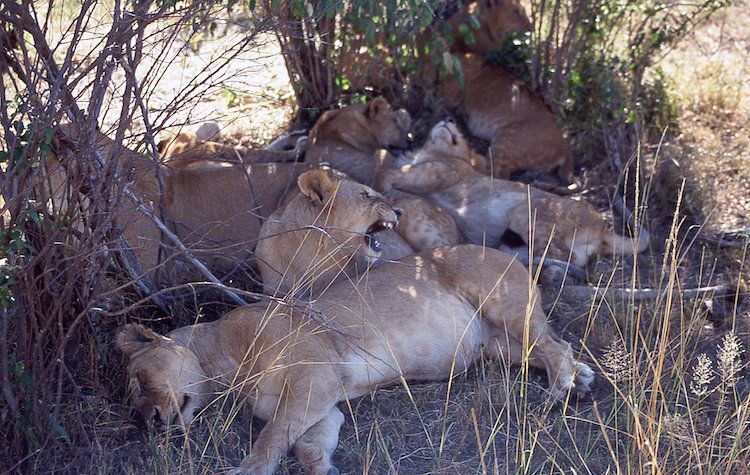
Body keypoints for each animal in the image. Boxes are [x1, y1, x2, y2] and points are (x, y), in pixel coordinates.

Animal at [119, 245, 592, 475]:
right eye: (135, 397)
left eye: (140, 380)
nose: (150, 423)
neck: (220, 352)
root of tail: (507, 252)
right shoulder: (322, 400)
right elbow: (306, 442)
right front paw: (322, 468)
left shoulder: (314, 378)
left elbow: (270, 437)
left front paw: (247, 470)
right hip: (497, 344)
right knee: (548, 348)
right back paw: (582, 377)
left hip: (503, 304)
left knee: (558, 348)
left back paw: (560, 392)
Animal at [378, 121, 648, 266]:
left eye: (462, 134)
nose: (448, 118)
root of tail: (602, 226)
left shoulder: (435, 174)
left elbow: (389, 175)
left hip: (526, 213)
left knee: (562, 255)